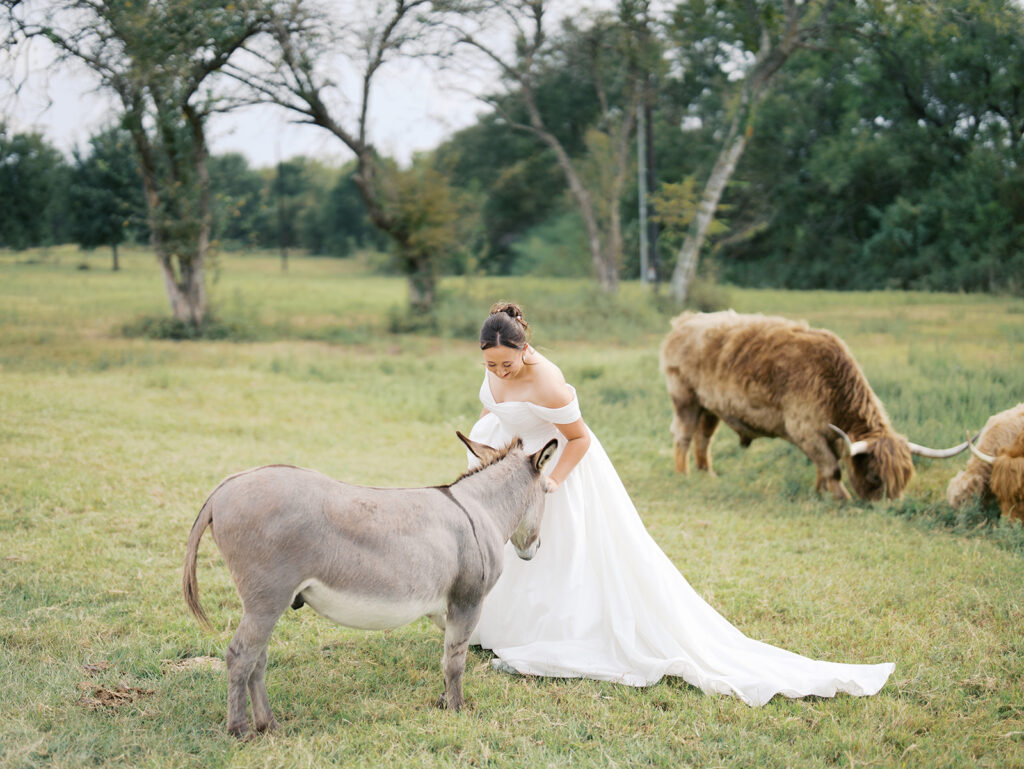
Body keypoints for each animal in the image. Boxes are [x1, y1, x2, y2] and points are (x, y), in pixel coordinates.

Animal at [659, 310, 970, 501]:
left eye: (905, 479)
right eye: (874, 476)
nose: (887, 507)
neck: (830, 382)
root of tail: (685, 321)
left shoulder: (827, 435)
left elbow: (825, 465)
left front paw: (821, 492)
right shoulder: (805, 430)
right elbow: (832, 467)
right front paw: (842, 498)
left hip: (710, 405)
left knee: (704, 437)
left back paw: (707, 473)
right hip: (685, 398)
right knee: (684, 435)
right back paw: (683, 474)